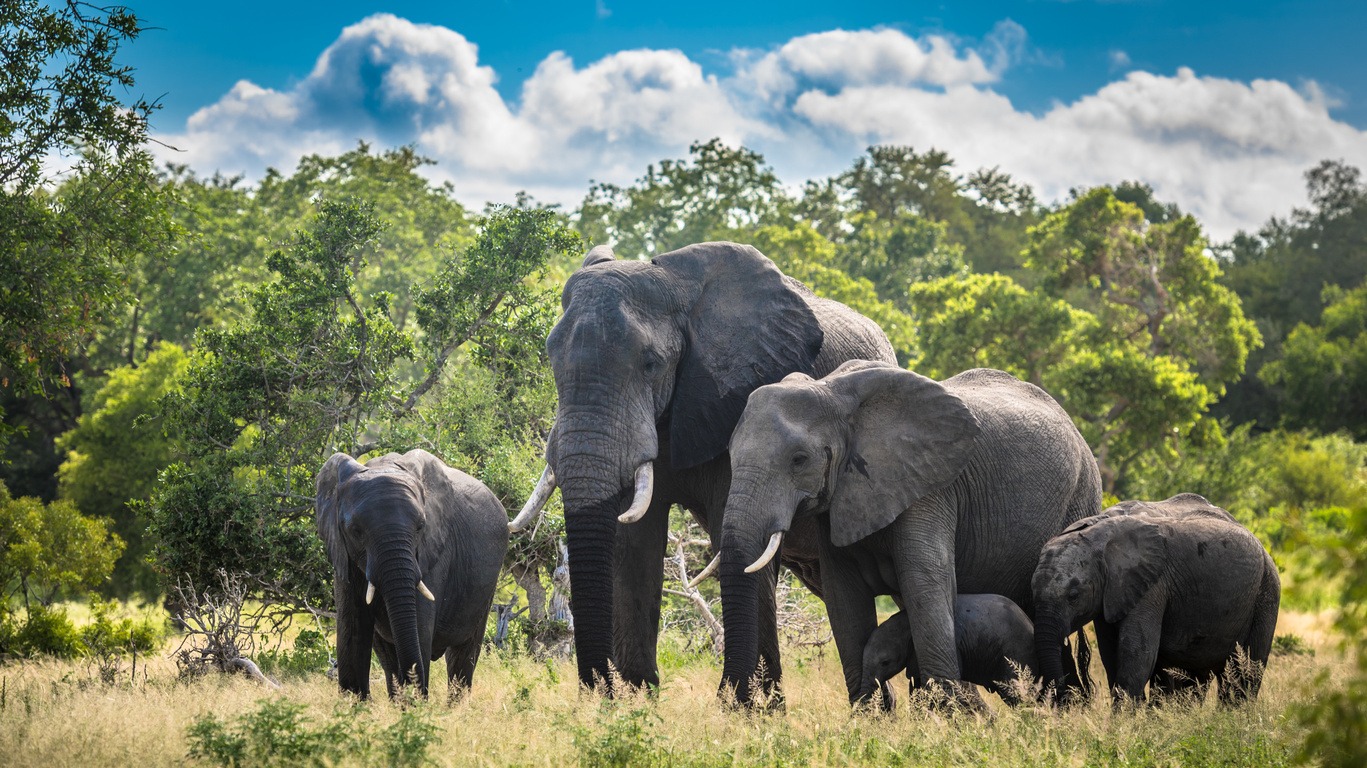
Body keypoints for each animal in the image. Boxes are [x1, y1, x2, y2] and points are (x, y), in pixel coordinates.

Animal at [313, 448, 508, 699]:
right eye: (355, 531)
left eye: (420, 526)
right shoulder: (342, 554)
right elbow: (352, 629)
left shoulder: (433, 551)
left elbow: (419, 628)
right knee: (388, 659)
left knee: (462, 656)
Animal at [513, 240, 896, 694]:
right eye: (551, 358)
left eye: (650, 363)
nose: (598, 690)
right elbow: (634, 542)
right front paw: (637, 699)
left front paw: (748, 705)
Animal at [1033, 491, 1279, 705]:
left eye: (1073, 596)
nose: (1061, 695)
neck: (1099, 531)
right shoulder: (1111, 595)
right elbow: (1111, 654)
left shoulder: (1152, 585)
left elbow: (1137, 654)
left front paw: (1123, 721)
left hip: (1266, 593)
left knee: (1244, 673)